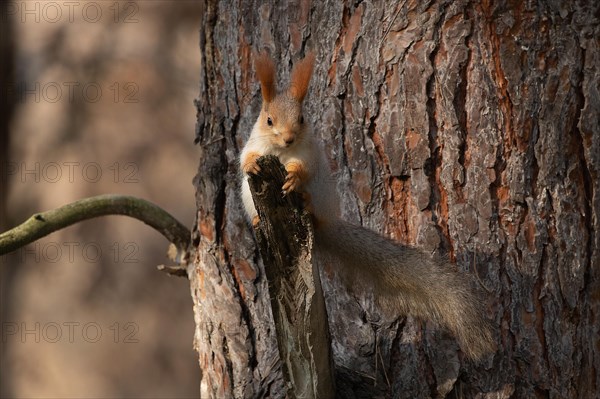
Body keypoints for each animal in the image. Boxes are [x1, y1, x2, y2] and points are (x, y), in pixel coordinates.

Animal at [239, 51, 496, 360]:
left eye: (301, 119)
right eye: (268, 120)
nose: (288, 138)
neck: (281, 152)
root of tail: (323, 225)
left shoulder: (308, 154)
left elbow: (303, 168)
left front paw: (293, 178)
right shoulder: (253, 144)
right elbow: (245, 158)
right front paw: (252, 165)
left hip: (322, 198)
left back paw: (305, 201)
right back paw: (257, 219)